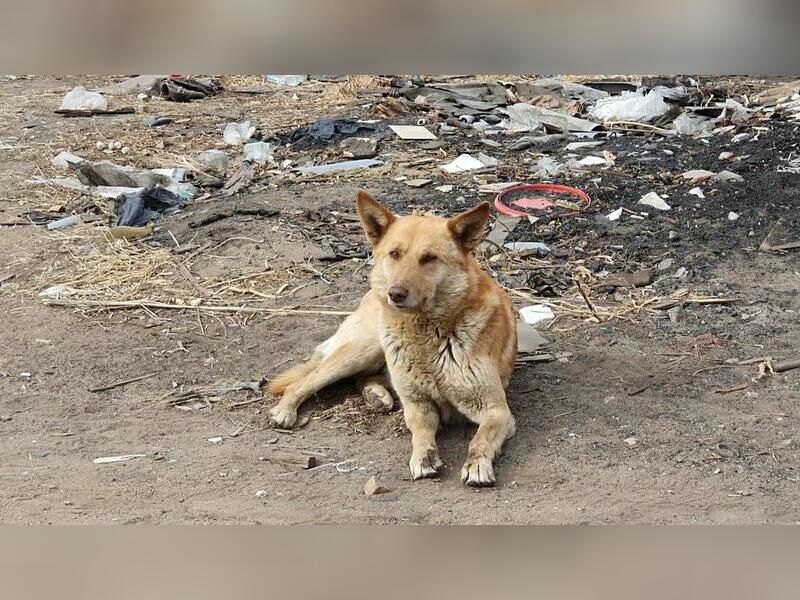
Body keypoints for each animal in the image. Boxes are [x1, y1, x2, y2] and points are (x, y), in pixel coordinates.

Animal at [268, 192, 520, 488]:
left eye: (429, 258)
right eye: (395, 254)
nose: (395, 294)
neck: (429, 335)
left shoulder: (496, 411)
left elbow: (480, 439)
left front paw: (477, 464)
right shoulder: (418, 405)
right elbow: (420, 433)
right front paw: (423, 456)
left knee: (363, 378)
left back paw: (376, 394)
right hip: (365, 349)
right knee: (305, 381)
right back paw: (286, 410)